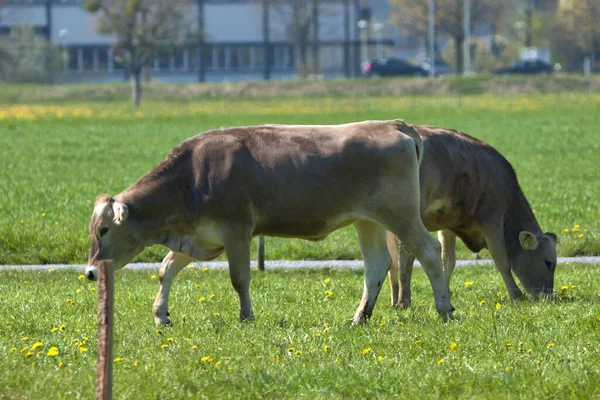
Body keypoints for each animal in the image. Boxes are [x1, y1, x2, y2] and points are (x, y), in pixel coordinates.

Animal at [85, 121, 454, 324]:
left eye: (104, 230)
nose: (89, 272)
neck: (191, 177)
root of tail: (393, 124)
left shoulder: (236, 230)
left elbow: (239, 278)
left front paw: (246, 317)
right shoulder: (200, 238)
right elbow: (166, 269)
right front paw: (161, 315)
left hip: (400, 215)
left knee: (428, 250)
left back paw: (445, 308)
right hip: (368, 220)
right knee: (377, 265)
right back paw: (359, 317)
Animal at [384, 125, 556, 306]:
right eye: (548, 263)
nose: (549, 297)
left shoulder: (447, 224)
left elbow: (448, 261)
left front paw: (446, 293)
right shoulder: (491, 221)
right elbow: (502, 260)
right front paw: (516, 296)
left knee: (392, 261)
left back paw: (395, 300)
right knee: (406, 253)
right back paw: (403, 301)